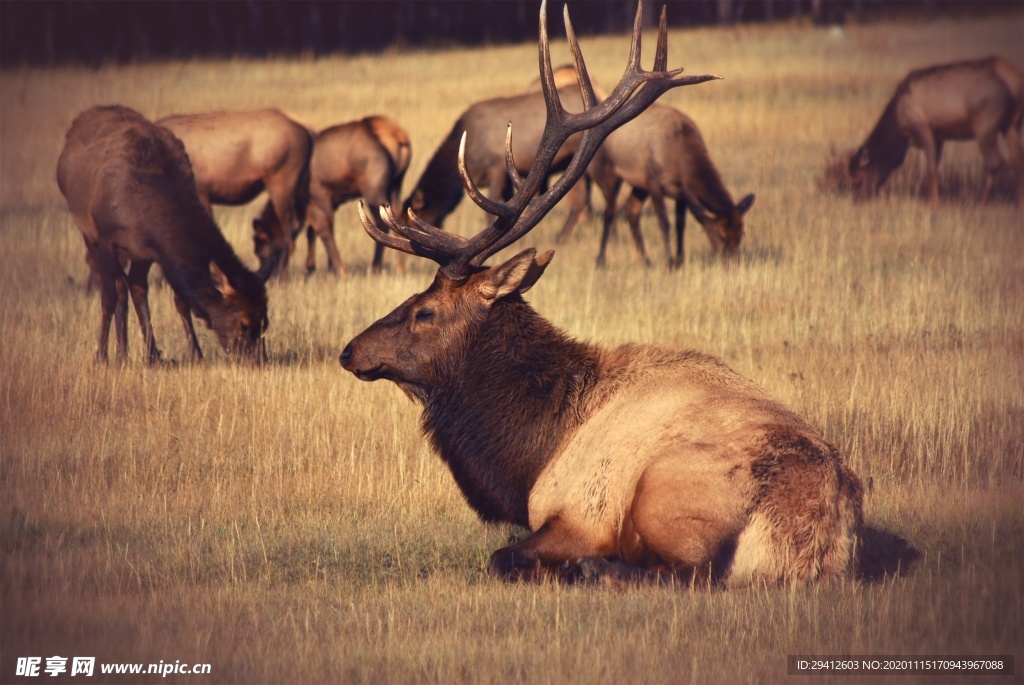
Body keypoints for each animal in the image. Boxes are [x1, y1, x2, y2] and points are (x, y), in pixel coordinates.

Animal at [57, 104, 268, 362]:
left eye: (265, 322)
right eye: (244, 324)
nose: (258, 359)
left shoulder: (151, 251)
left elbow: (178, 300)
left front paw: (194, 353)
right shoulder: (106, 239)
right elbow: (107, 298)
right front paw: (100, 356)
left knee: (132, 287)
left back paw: (138, 353)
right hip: (87, 233)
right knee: (118, 288)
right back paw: (120, 354)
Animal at [252, 114, 411, 272]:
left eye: (263, 252)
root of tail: (398, 136)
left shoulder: (320, 196)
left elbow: (323, 228)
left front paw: (332, 269)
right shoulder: (331, 201)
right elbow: (312, 231)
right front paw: (312, 267)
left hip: (372, 189)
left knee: (381, 222)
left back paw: (375, 266)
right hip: (396, 185)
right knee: (398, 215)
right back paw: (400, 268)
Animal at [339, 1, 860, 589]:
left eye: (423, 311)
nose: (349, 350)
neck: (529, 453)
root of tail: (817, 541)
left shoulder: (577, 512)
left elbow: (502, 556)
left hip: (666, 490)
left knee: (678, 572)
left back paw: (588, 569)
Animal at [847, 55, 1024, 206]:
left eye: (859, 180)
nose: (857, 201)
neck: (898, 127)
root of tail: (1015, 82)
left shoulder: (924, 129)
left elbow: (931, 169)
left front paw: (932, 203)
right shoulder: (940, 136)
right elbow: (936, 168)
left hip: (985, 124)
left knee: (995, 161)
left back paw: (979, 203)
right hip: (1011, 125)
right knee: (1017, 160)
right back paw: (1018, 204)